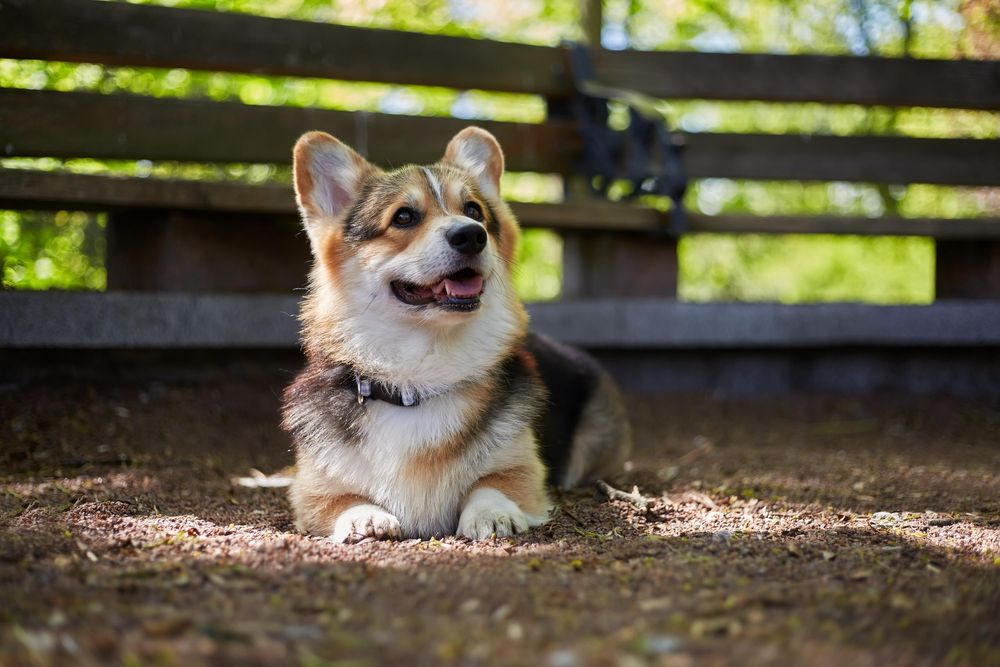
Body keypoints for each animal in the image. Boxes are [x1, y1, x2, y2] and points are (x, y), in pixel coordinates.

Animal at [282, 126, 628, 544]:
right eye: (403, 216)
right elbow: (341, 499)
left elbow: (492, 482)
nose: (471, 236)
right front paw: (363, 517)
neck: (418, 379)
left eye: (474, 211)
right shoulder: (314, 489)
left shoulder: (521, 469)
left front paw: (491, 514)